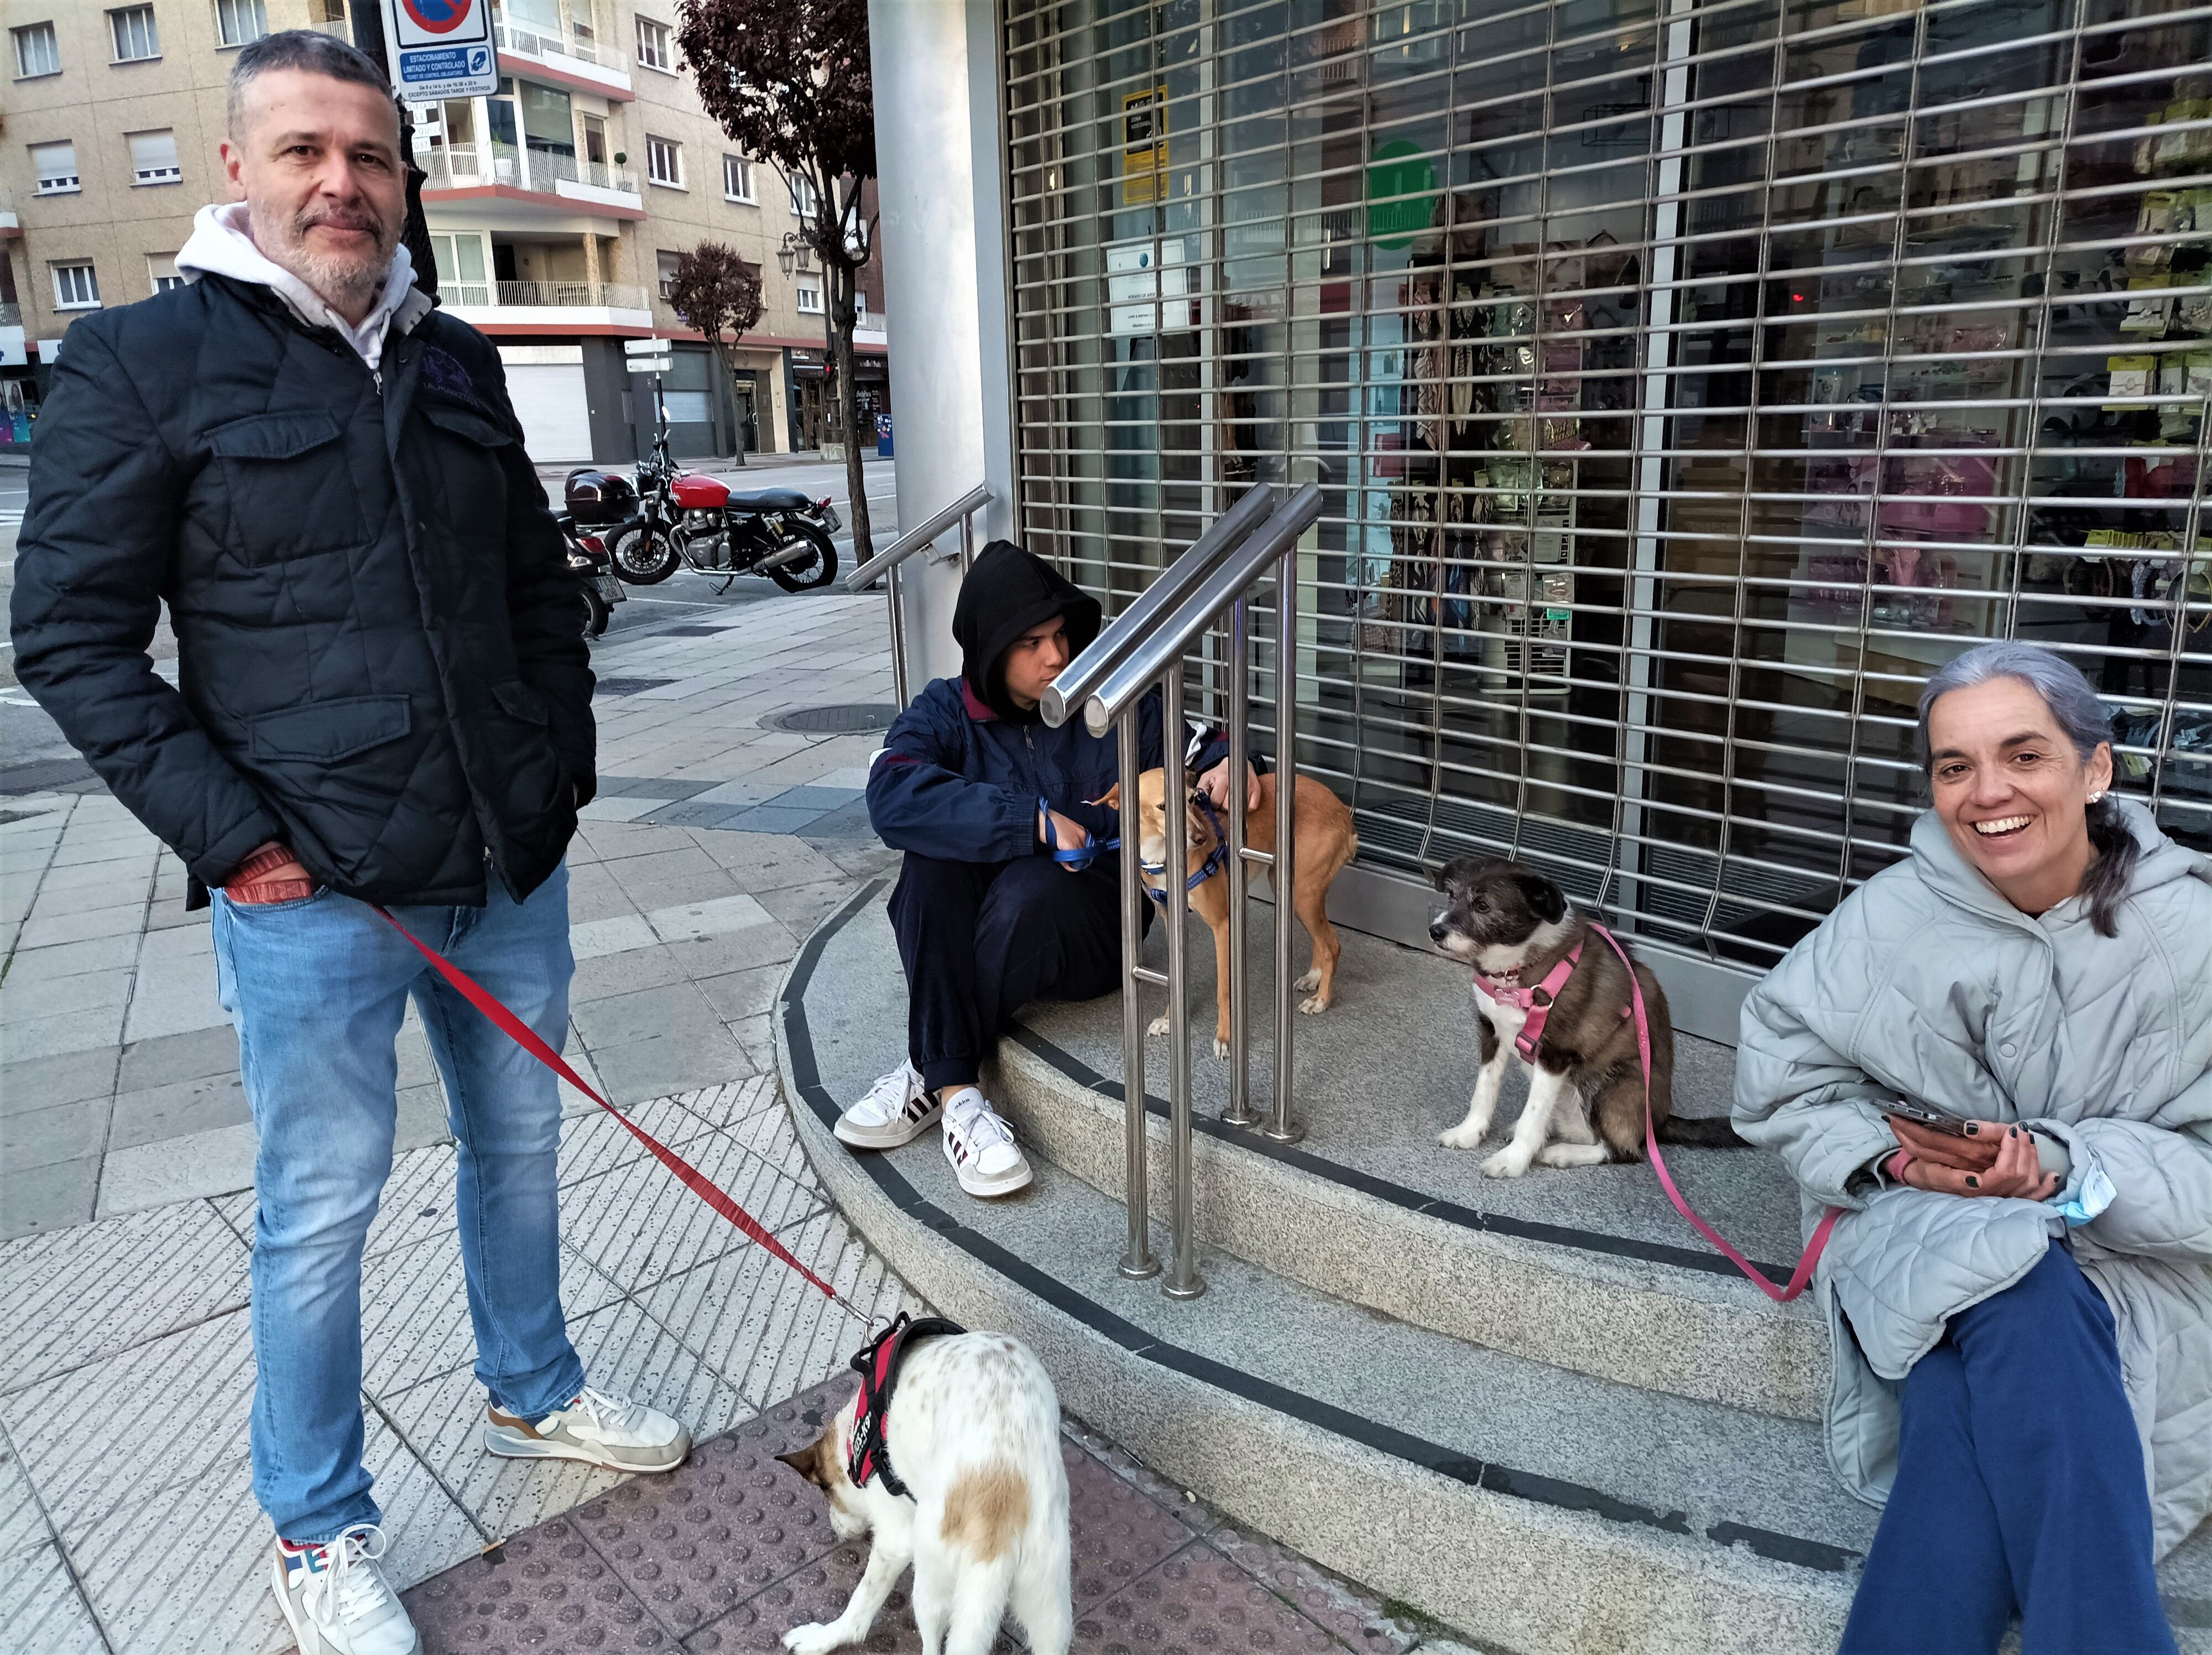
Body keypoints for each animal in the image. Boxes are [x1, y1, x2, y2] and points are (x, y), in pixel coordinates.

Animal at [774, 1328, 1066, 1655]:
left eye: (826, 1491)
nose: (836, 1529)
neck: (857, 1433)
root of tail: (1000, 1511)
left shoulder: (895, 1538)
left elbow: (863, 1601)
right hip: (1050, 1608)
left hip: (930, 1583)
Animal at [1097, 766, 1354, 1053]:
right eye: (1163, 806)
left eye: (1191, 799)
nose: (1201, 838)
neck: (1162, 857)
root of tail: (1342, 809)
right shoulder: (1171, 921)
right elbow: (1175, 982)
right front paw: (1169, 1020)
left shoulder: (1223, 926)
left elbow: (1224, 991)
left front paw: (1225, 1037)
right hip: (1292, 891)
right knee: (1322, 942)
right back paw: (1314, 978)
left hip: (1302, 893)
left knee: (1332, 946)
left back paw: (1321, 1000)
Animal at [1433, 854, 1743, 1177]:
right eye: (1451, 895)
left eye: (1483, 906)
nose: (1435, 932)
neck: (1514, 973)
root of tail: (1659, 1123)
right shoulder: (1491, 1032)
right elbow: (1484, 1091)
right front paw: (1469, 1132)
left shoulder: (1554, 1054)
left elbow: (1534, 1115)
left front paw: (1513, 1161)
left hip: (1611, 1083)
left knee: (1622, 1150)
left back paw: (1562, 1153)